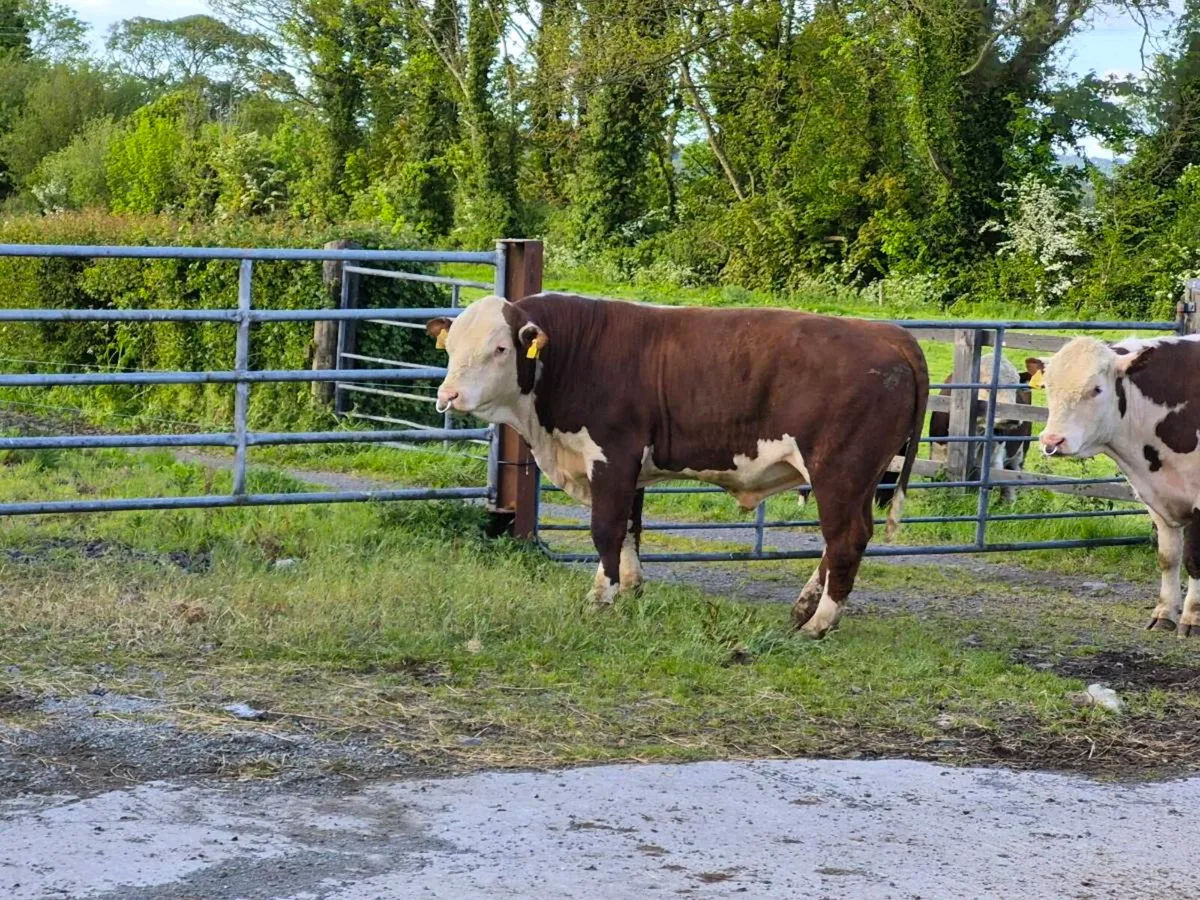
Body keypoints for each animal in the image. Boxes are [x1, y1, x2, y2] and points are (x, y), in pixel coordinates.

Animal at [427, 293, 929, 638]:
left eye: (500, 349)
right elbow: (630, 528)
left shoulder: (612, 456)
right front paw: (630, 588)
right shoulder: (631, 469)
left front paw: (600, 598)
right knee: (842, 539)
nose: (449, 395)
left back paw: (818, 623)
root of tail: (888, 333)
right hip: (860, 478)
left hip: (840, 471)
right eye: (450, 347)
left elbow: (605, 529)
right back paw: (804, 608)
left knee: (845, 539)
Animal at [1040, 335, 1200, 635]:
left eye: (1096, 389)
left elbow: (1194, 559)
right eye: (1047, 387)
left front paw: (1193, 619)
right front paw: (1164, 614)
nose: (1052, 441)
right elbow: (1168, 557)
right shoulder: (1156, 498)